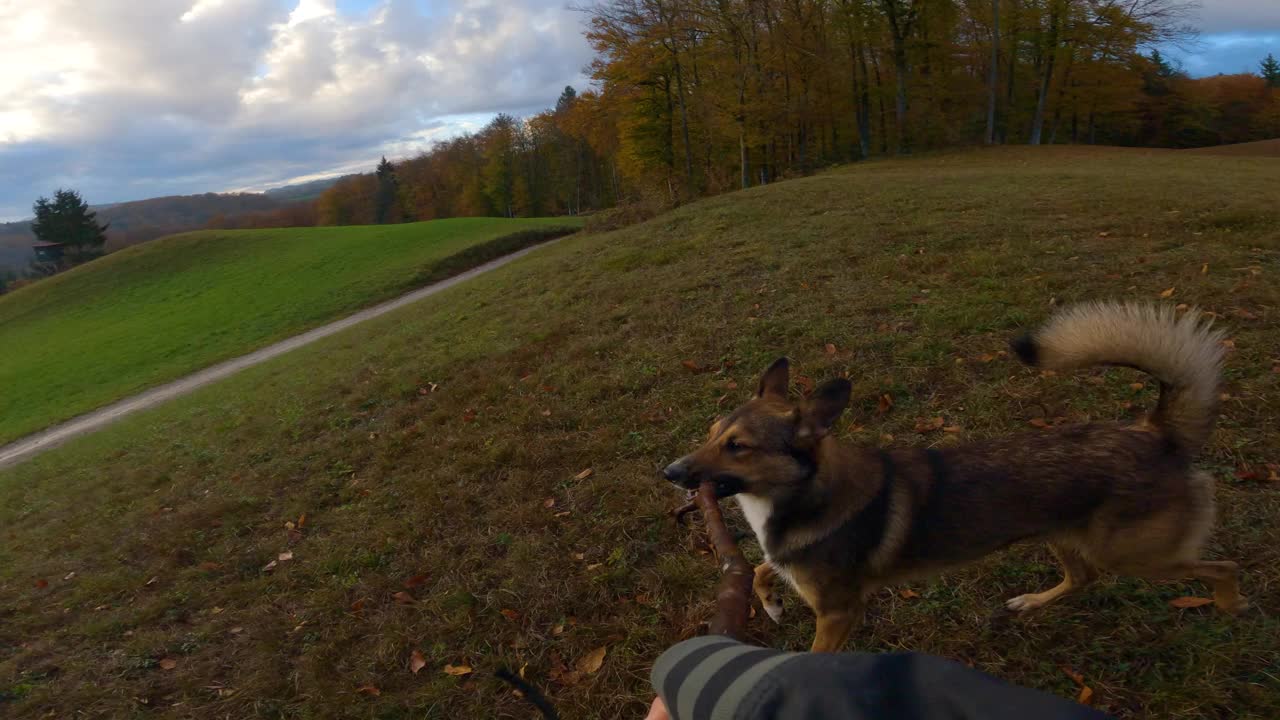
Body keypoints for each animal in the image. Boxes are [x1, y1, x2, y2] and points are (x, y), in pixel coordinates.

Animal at [665, 299, 1244, 648]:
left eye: (738, 447)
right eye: (712, 432)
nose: (670, 472)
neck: (802, 494)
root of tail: (1157, 433)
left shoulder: (838, 612)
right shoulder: (798, 571)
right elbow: (764, 568)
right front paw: (772, 604)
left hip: (1137, 553)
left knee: (1223, 566)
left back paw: (1226, 610)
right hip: (1064, 534)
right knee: (1083, 577)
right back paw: (1028, 604)